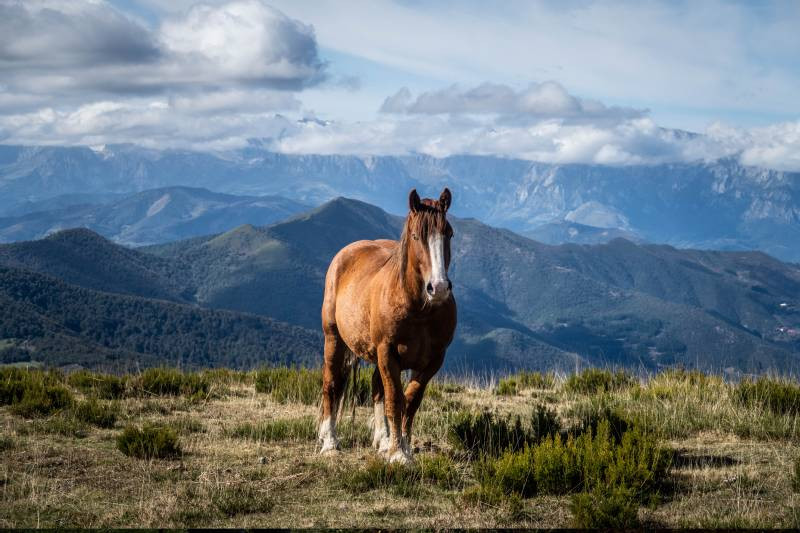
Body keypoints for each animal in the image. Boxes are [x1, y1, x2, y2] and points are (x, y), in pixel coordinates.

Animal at [318, 186, 456, 462]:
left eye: (449, 233)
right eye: (415, 236)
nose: (438, 288)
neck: (418, 309)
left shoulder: (433, 360)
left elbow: (410, 402)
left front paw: (403, 447)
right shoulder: (387, 352)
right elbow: (395, 400)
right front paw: (398, 454)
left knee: (375, 389)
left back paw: (382, 440)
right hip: (334, 340)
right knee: (332, 384)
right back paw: (330, 442)